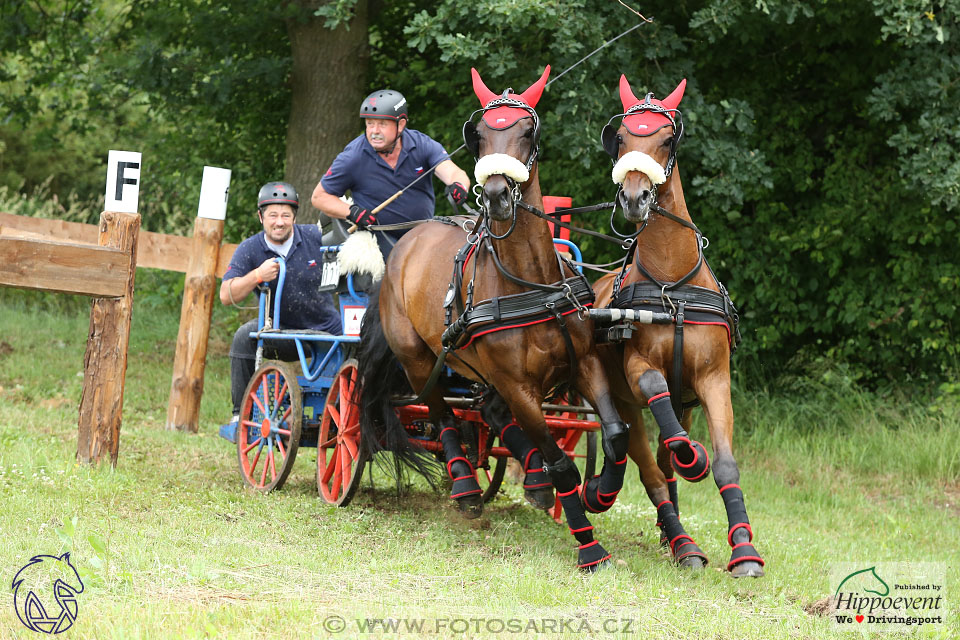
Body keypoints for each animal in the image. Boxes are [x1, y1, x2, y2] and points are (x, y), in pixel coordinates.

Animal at [356, 67, 632, 572]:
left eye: (527, 131)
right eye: (480, 133)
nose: (499, 194)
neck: (531, 283)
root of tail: (408, 239)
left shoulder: (582, 362)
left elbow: (616, 434)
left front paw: (600, 493)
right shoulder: (518, 384)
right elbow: (561, 462)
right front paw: (589, 547)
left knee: (488, 412)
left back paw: (534, 483)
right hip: (421, 360)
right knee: (443, 413)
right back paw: (466, 487)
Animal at [592, 75, 764, 576]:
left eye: (667, 139)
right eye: (622, 138)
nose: (634, 198)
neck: (672, 285)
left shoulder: (714, 379)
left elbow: (725, 464)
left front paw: (744, 550)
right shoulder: (639, 369)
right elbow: (660, 404)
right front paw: (693, 459)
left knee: (664, 459)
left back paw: (675, 537)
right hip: (623, 403)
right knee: (650, 471)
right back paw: (683, 542)